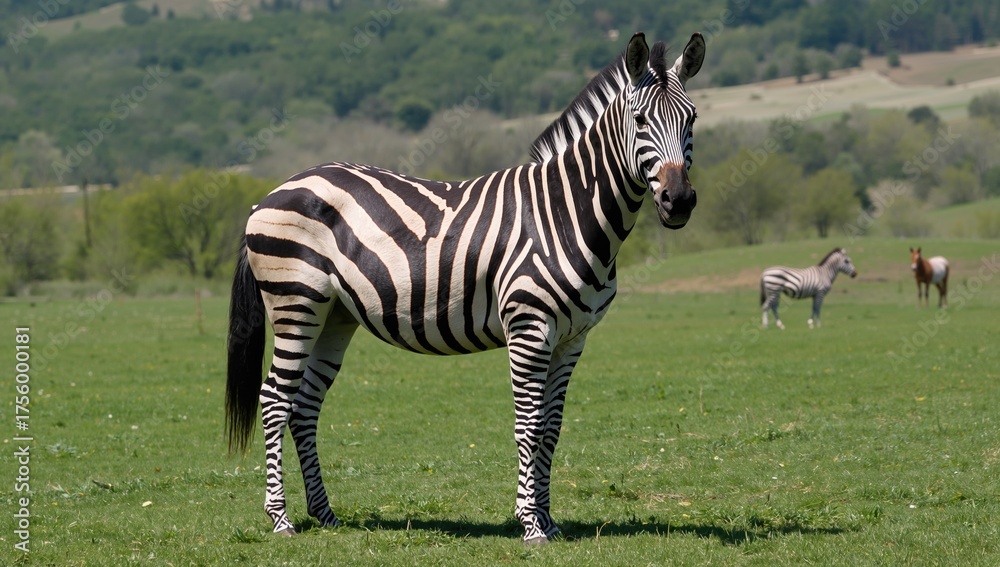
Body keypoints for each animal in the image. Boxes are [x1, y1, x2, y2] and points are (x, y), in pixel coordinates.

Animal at [226, 31, 705, 544]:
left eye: (692, 118)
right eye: (640, 121)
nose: (679, 202)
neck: (567, 212)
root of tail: (273, 193)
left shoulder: (572, 337)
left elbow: (552, 428)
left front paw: (548, 519)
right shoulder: (529, 328)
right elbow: (529, 426)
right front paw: (530, 524)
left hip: (333, 316)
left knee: (304, 406)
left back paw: (325, 513)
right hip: (296, 303)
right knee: (274, 400)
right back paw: (280, 519)